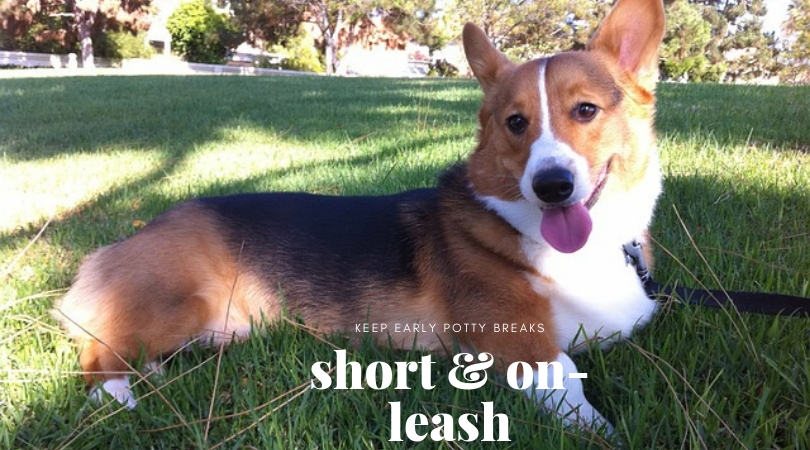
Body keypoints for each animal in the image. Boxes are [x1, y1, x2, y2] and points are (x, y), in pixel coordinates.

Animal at [55, 0, 664, 432]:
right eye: (516, 123)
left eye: (585, 110)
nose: (551, 185)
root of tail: (111, 250)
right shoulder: (514, 345)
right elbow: (569, 385)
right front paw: (602, 431)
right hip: (178, 304)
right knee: (98, 353)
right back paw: (122, 395)